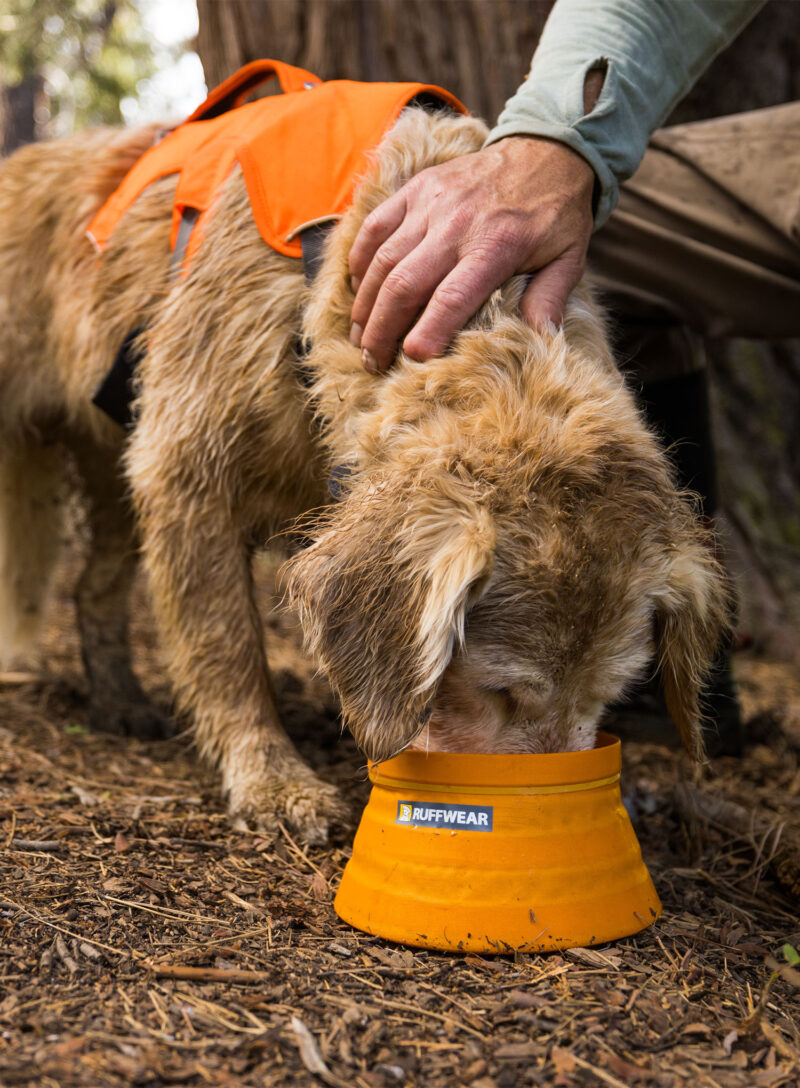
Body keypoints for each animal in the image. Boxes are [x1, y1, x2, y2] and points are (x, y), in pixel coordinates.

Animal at [0, 108, 727, 839]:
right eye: (501, 692)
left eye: (609, 696)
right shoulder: (185, 471)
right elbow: (227, 647)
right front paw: (272, 778)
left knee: (94, 586)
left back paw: (118, 700)